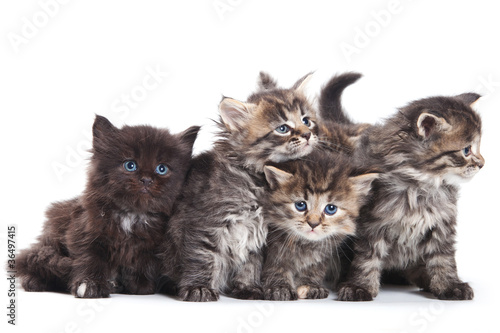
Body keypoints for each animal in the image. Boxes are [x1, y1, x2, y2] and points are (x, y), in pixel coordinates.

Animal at [16, 115, 199, 296]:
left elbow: (143, 263)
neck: (132, 215)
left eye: (162, 169)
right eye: (130, 165)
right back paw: (34, 282)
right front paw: (89, 284)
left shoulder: (152, 246)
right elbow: (89, 260)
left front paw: (141, 286)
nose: (146, 180)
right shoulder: (85, 234)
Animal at [163, 72, 320, 300]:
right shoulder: (204, 222)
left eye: (306, 120)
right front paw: (198, 288)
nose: (308, 134)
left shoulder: (259, 232)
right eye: (282, 128)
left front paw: (248, 287)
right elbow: (202, 257)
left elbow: (251, 263)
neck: (259, 181)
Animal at [262, 151, 376, 300]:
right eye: (300, 205)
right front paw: (280, 287)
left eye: (331, 209)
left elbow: (314, 269)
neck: (305, 244)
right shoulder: (273, 249)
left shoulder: (324, 253)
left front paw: (310, 285)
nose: (313, 223)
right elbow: (276, 267)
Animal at [320, 76, 484, 300]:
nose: (482, 164)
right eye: (467, 150)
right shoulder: (372, 223)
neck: (419, 186)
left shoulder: (442, 222)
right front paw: (359, 286)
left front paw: (450, 285)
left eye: (478, 147)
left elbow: (443, 258)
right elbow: (367, 258)